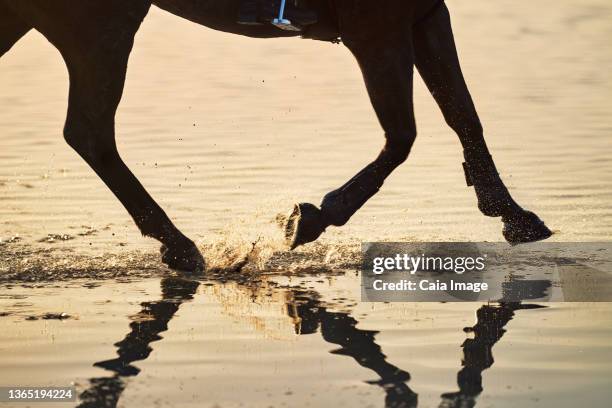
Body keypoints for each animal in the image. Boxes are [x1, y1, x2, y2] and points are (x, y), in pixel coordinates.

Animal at [0, 1, 552, 272]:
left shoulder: (424, 14)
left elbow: (463, 114)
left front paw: (512, 214)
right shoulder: (376, 29)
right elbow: (402, 137)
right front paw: (309, 219)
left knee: (89, 133)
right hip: (99, 25)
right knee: (90, 131)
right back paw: (181, 247)